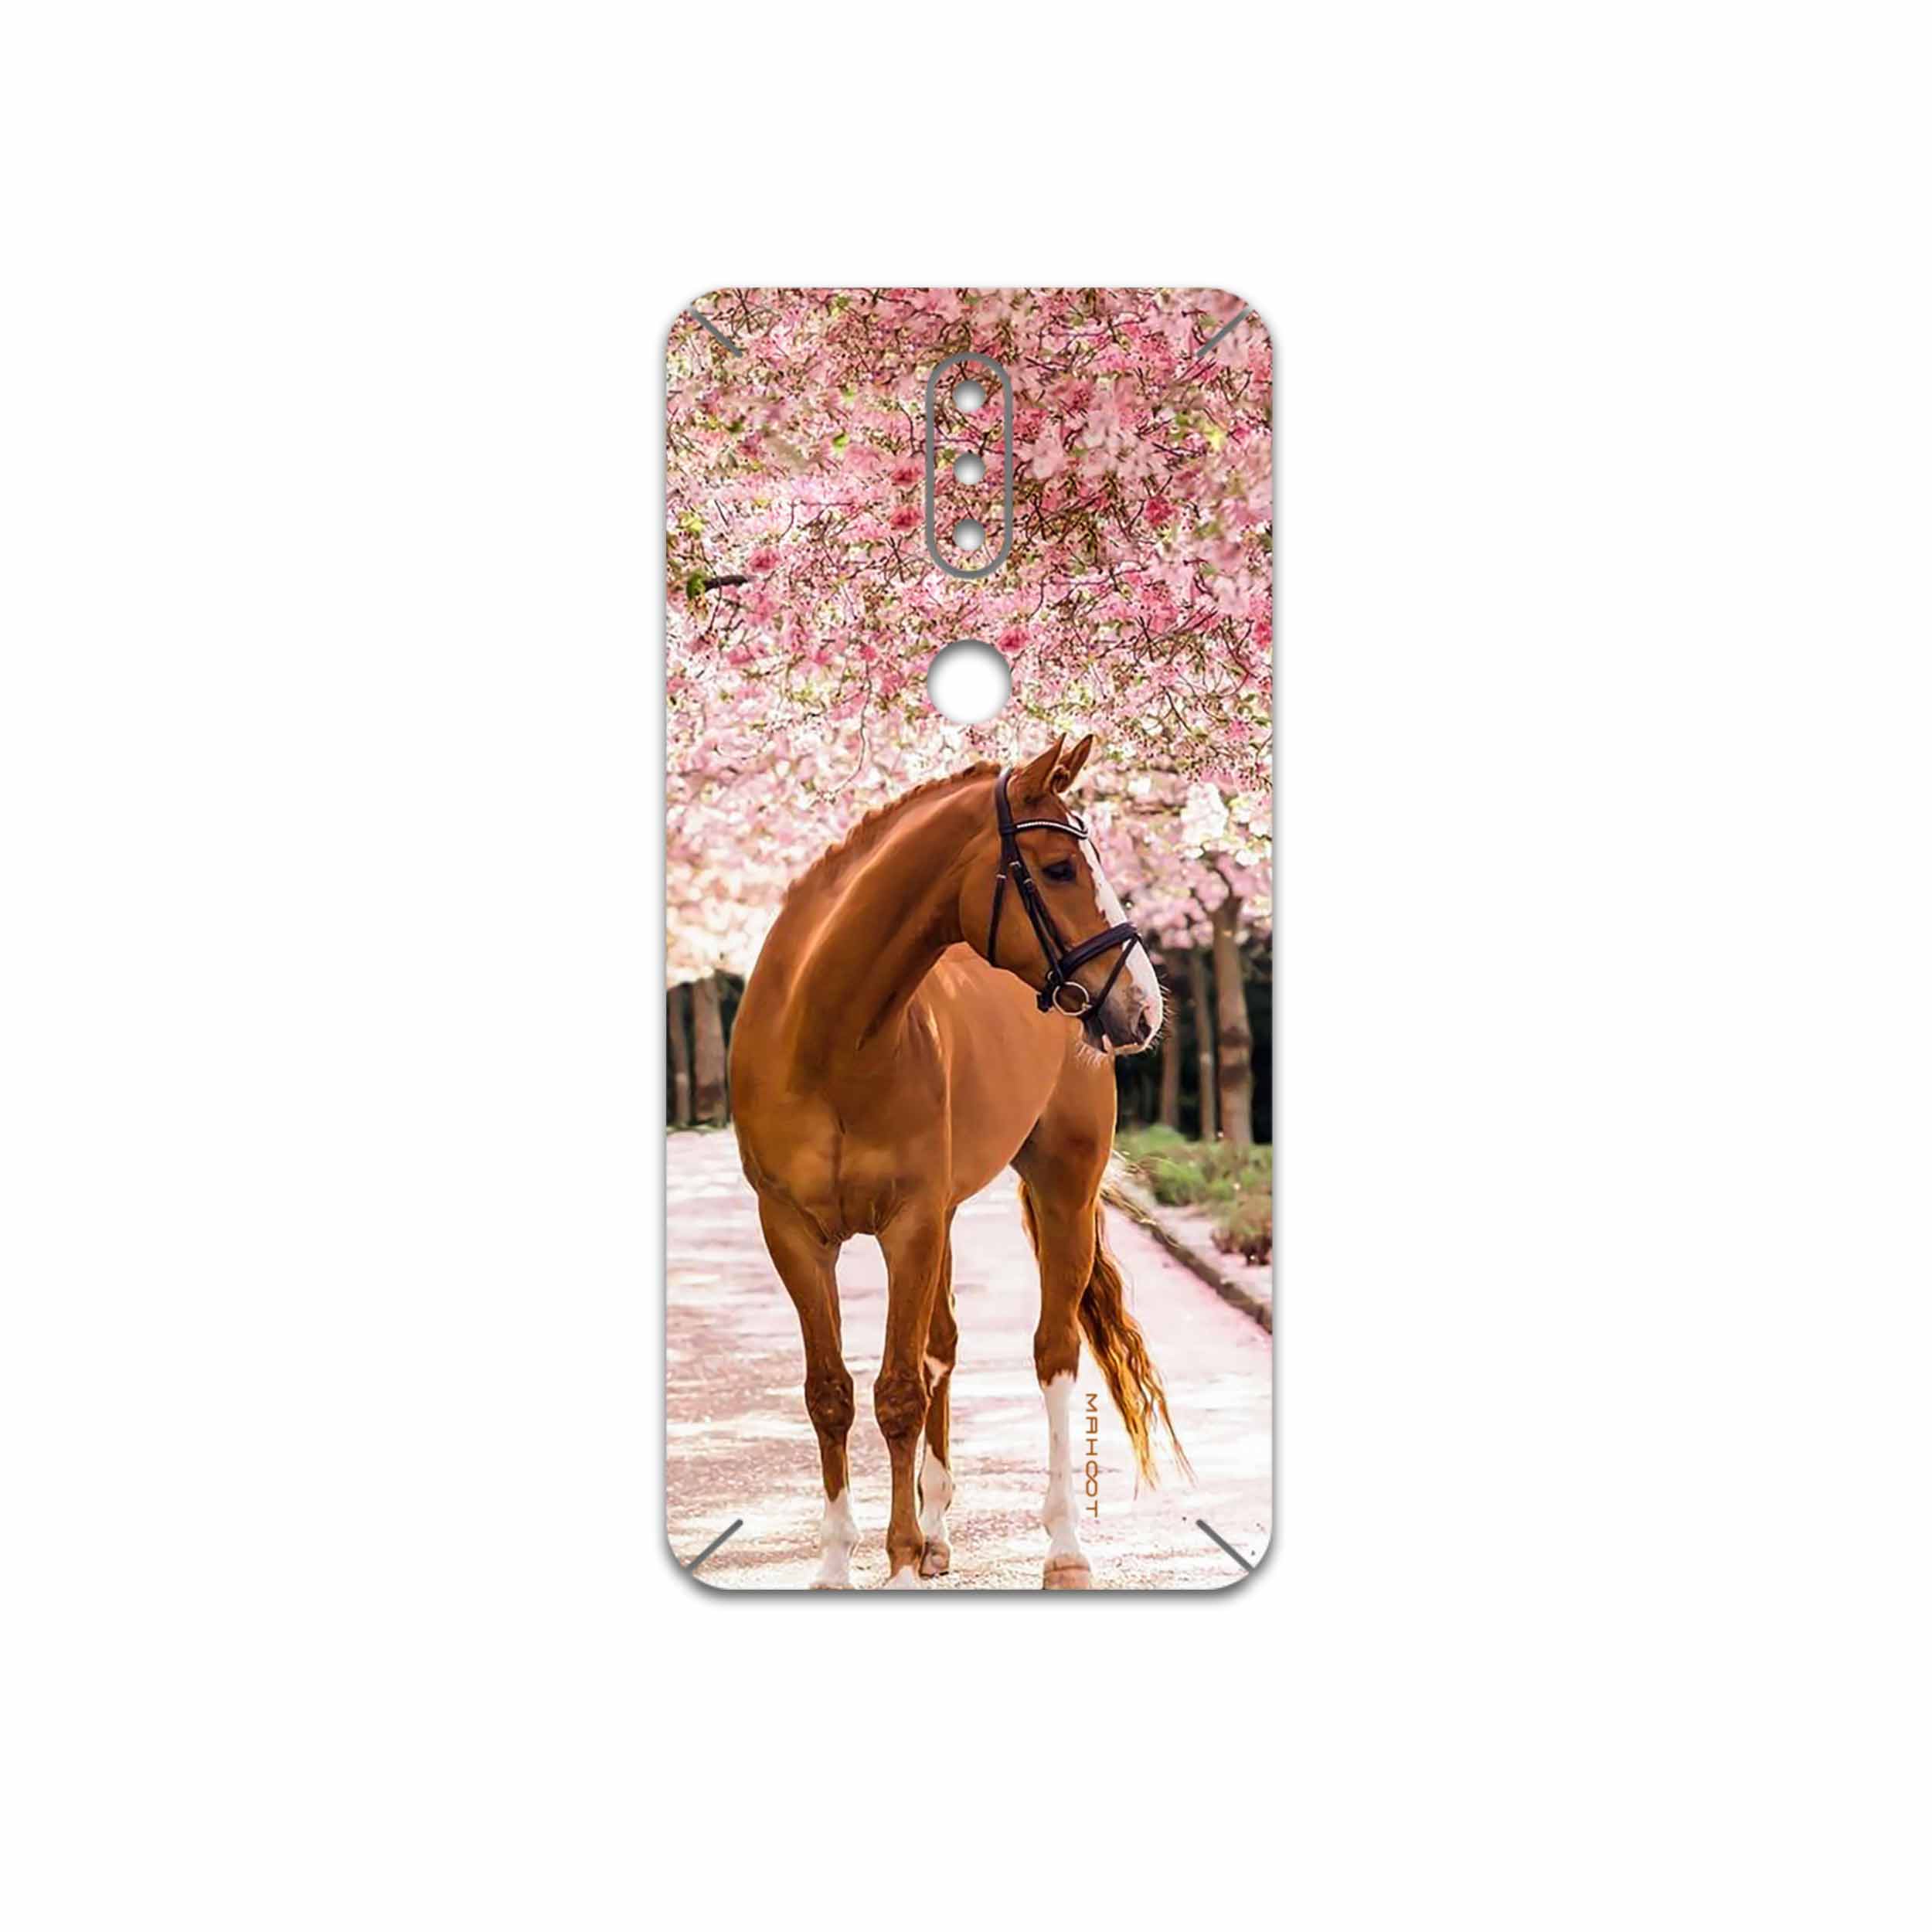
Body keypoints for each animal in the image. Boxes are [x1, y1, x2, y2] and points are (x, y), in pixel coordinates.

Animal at [728, 732, 1189, 1589]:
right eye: (1059, 868)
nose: (1142, 1006)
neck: (826, 1041)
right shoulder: (794, 1232)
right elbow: (831, 1392)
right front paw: (842, 1564)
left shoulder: (908, 1223)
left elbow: (898, 1391)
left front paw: (901, 1560)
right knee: (942, 1346)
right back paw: (940, 1532)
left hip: (1061, 1190)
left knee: (1052, 1352)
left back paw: (1062, 1548)